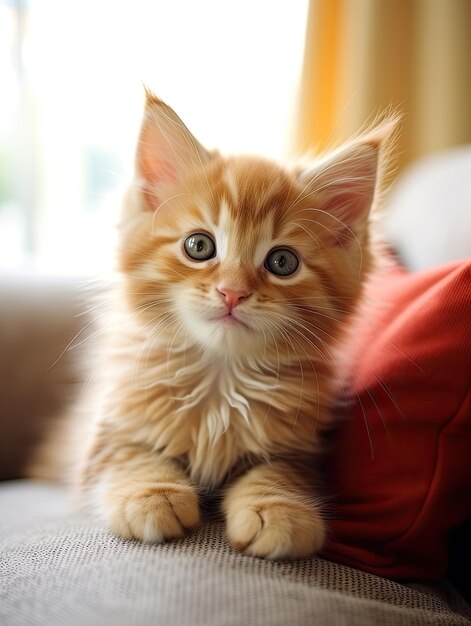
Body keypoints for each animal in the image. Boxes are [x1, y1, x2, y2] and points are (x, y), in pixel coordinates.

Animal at [79, 89, 396, 556]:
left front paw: (277, 510)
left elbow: (277, 474)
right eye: (199, 246)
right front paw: (152, 494)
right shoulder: (104, 439)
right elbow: (132, 456)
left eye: (282, 262)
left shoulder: (297, 451)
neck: (220, 382)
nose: (233, 292)